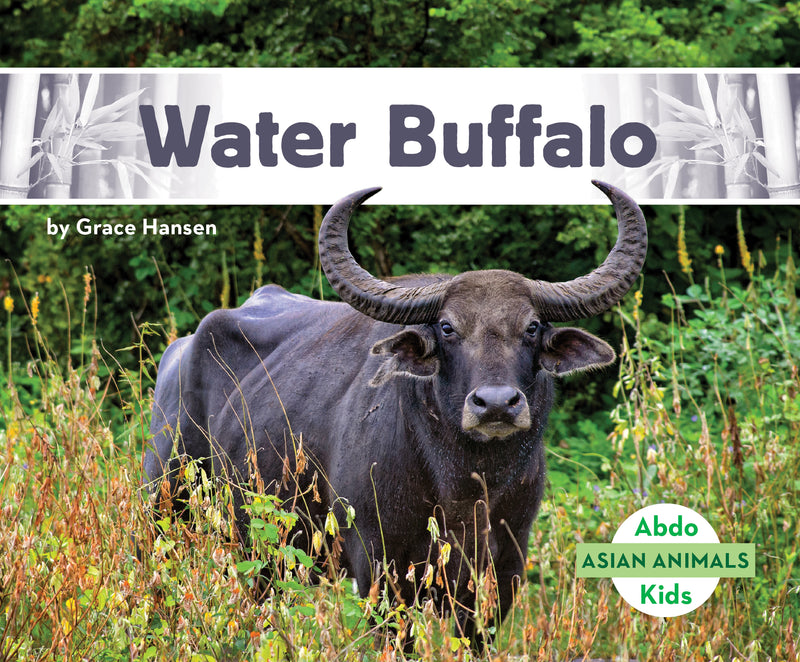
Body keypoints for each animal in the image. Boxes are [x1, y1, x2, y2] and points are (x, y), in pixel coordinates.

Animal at [145, 180, 647, 644]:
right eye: (446, 327)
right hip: (166, 513)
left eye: (533, 326)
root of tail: (179, 353)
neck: (464, 486)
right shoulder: (381, 573)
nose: (496, 403)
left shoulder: (501, 575)